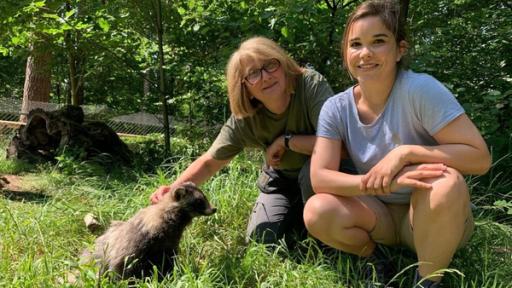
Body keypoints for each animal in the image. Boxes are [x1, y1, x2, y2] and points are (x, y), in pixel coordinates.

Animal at [87, 182, 215, 280]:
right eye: (199, 201)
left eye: (204, 197)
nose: (214, 209)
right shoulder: (140, 238)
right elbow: (121, 263)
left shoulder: (170, 241)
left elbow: (168, 258)